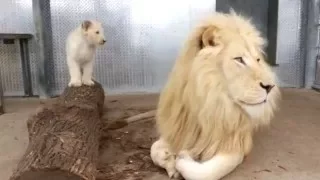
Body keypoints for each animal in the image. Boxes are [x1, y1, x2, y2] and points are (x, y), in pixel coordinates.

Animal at [150, 10, 280, 180]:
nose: (270, 86)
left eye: (258, 60)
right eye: (239, 59)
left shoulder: (235, 141)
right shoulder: (178, 130)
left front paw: (182, 158)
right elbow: (154, 149)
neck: (211, 101)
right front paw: (169, 161)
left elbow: (205, 173)